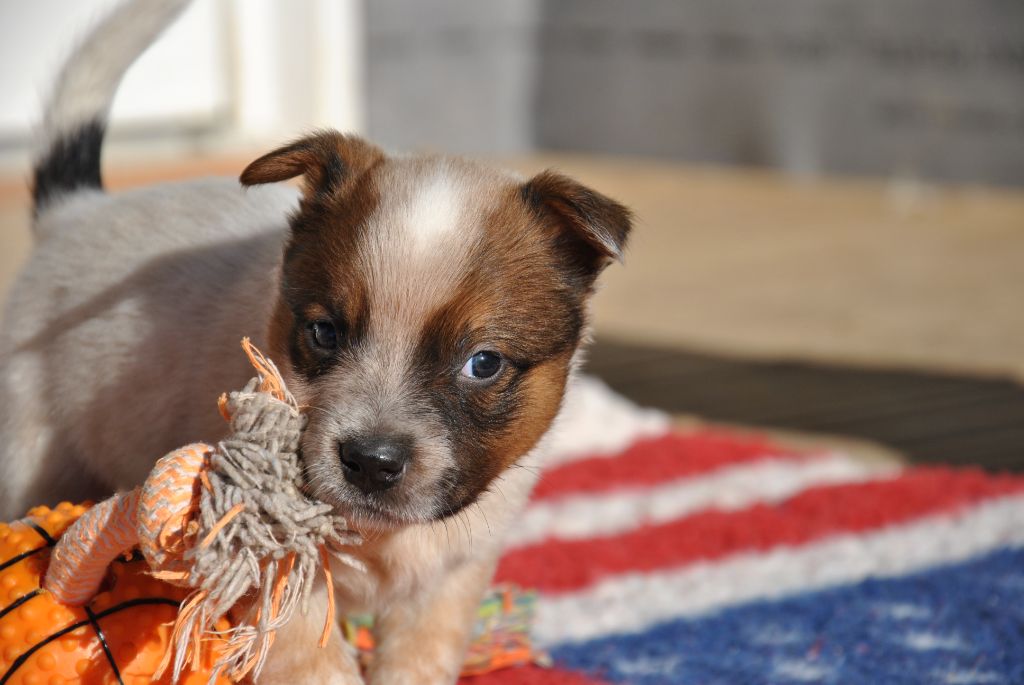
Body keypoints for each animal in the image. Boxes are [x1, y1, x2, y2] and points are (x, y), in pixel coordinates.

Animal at [0, 0, 632, 682]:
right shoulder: (276, 579)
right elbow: (315, 661)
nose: (371, 462)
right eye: (323, 333)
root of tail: (73, 212)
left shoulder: (451, 575)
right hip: (30, 452)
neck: (378, 540)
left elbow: (419, 658)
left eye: (483, 364)